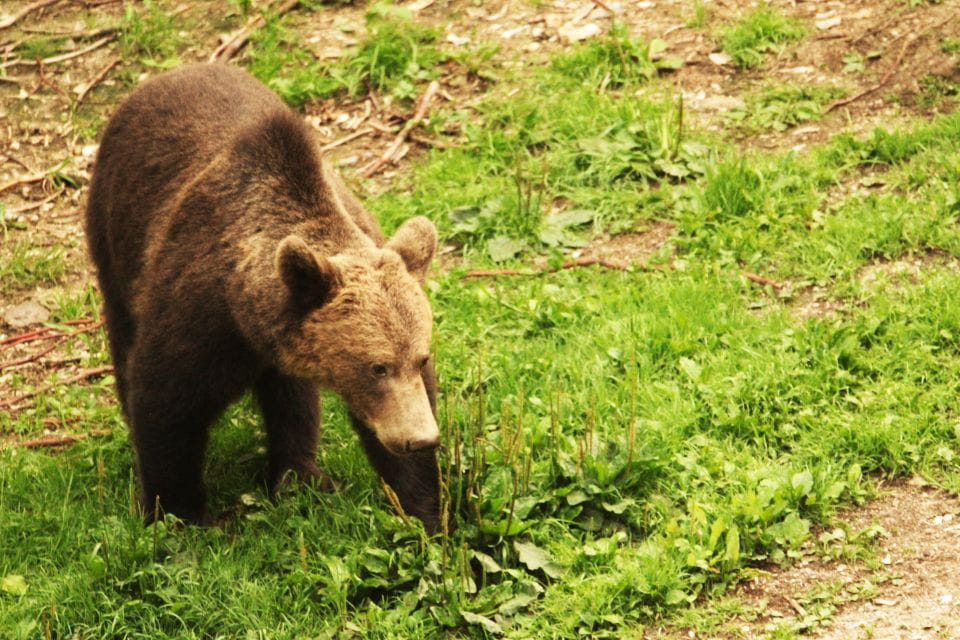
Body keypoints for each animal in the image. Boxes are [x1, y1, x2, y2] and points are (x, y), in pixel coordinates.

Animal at [85, 63, 442, 533]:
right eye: (377, 366)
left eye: (420, 358)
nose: (420, 438)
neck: (246, 313)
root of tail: (169, 74)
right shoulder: (200, 313)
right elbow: (166, 401)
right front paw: (179, 513)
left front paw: (426, 513)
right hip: (114, 229)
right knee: (124, 330)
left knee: (290, 399)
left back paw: (299, 475)